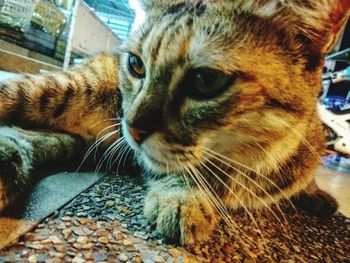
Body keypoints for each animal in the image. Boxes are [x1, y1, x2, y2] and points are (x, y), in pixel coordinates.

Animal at [0, 0, 348, 245]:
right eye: (136, 65)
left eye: (206, 80)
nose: (131, 126)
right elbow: (185, 170)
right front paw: (186, 197)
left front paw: (315, 192)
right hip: (57, 92)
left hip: (82, 140)